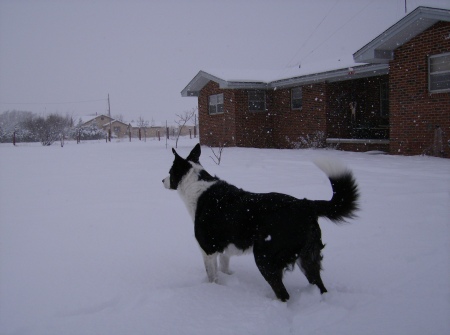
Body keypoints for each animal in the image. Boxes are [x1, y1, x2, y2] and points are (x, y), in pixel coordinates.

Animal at [163, 144, 358, 302]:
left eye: (170, 171)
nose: (162, 181)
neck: (197, 186)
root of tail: (305, 204)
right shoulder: (224, 250)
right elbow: (224, 268)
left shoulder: (208, 250)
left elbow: (212, 276)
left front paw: (212, 290)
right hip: (307, 258)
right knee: (320, 287)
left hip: (265, 256)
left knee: (283, 293)